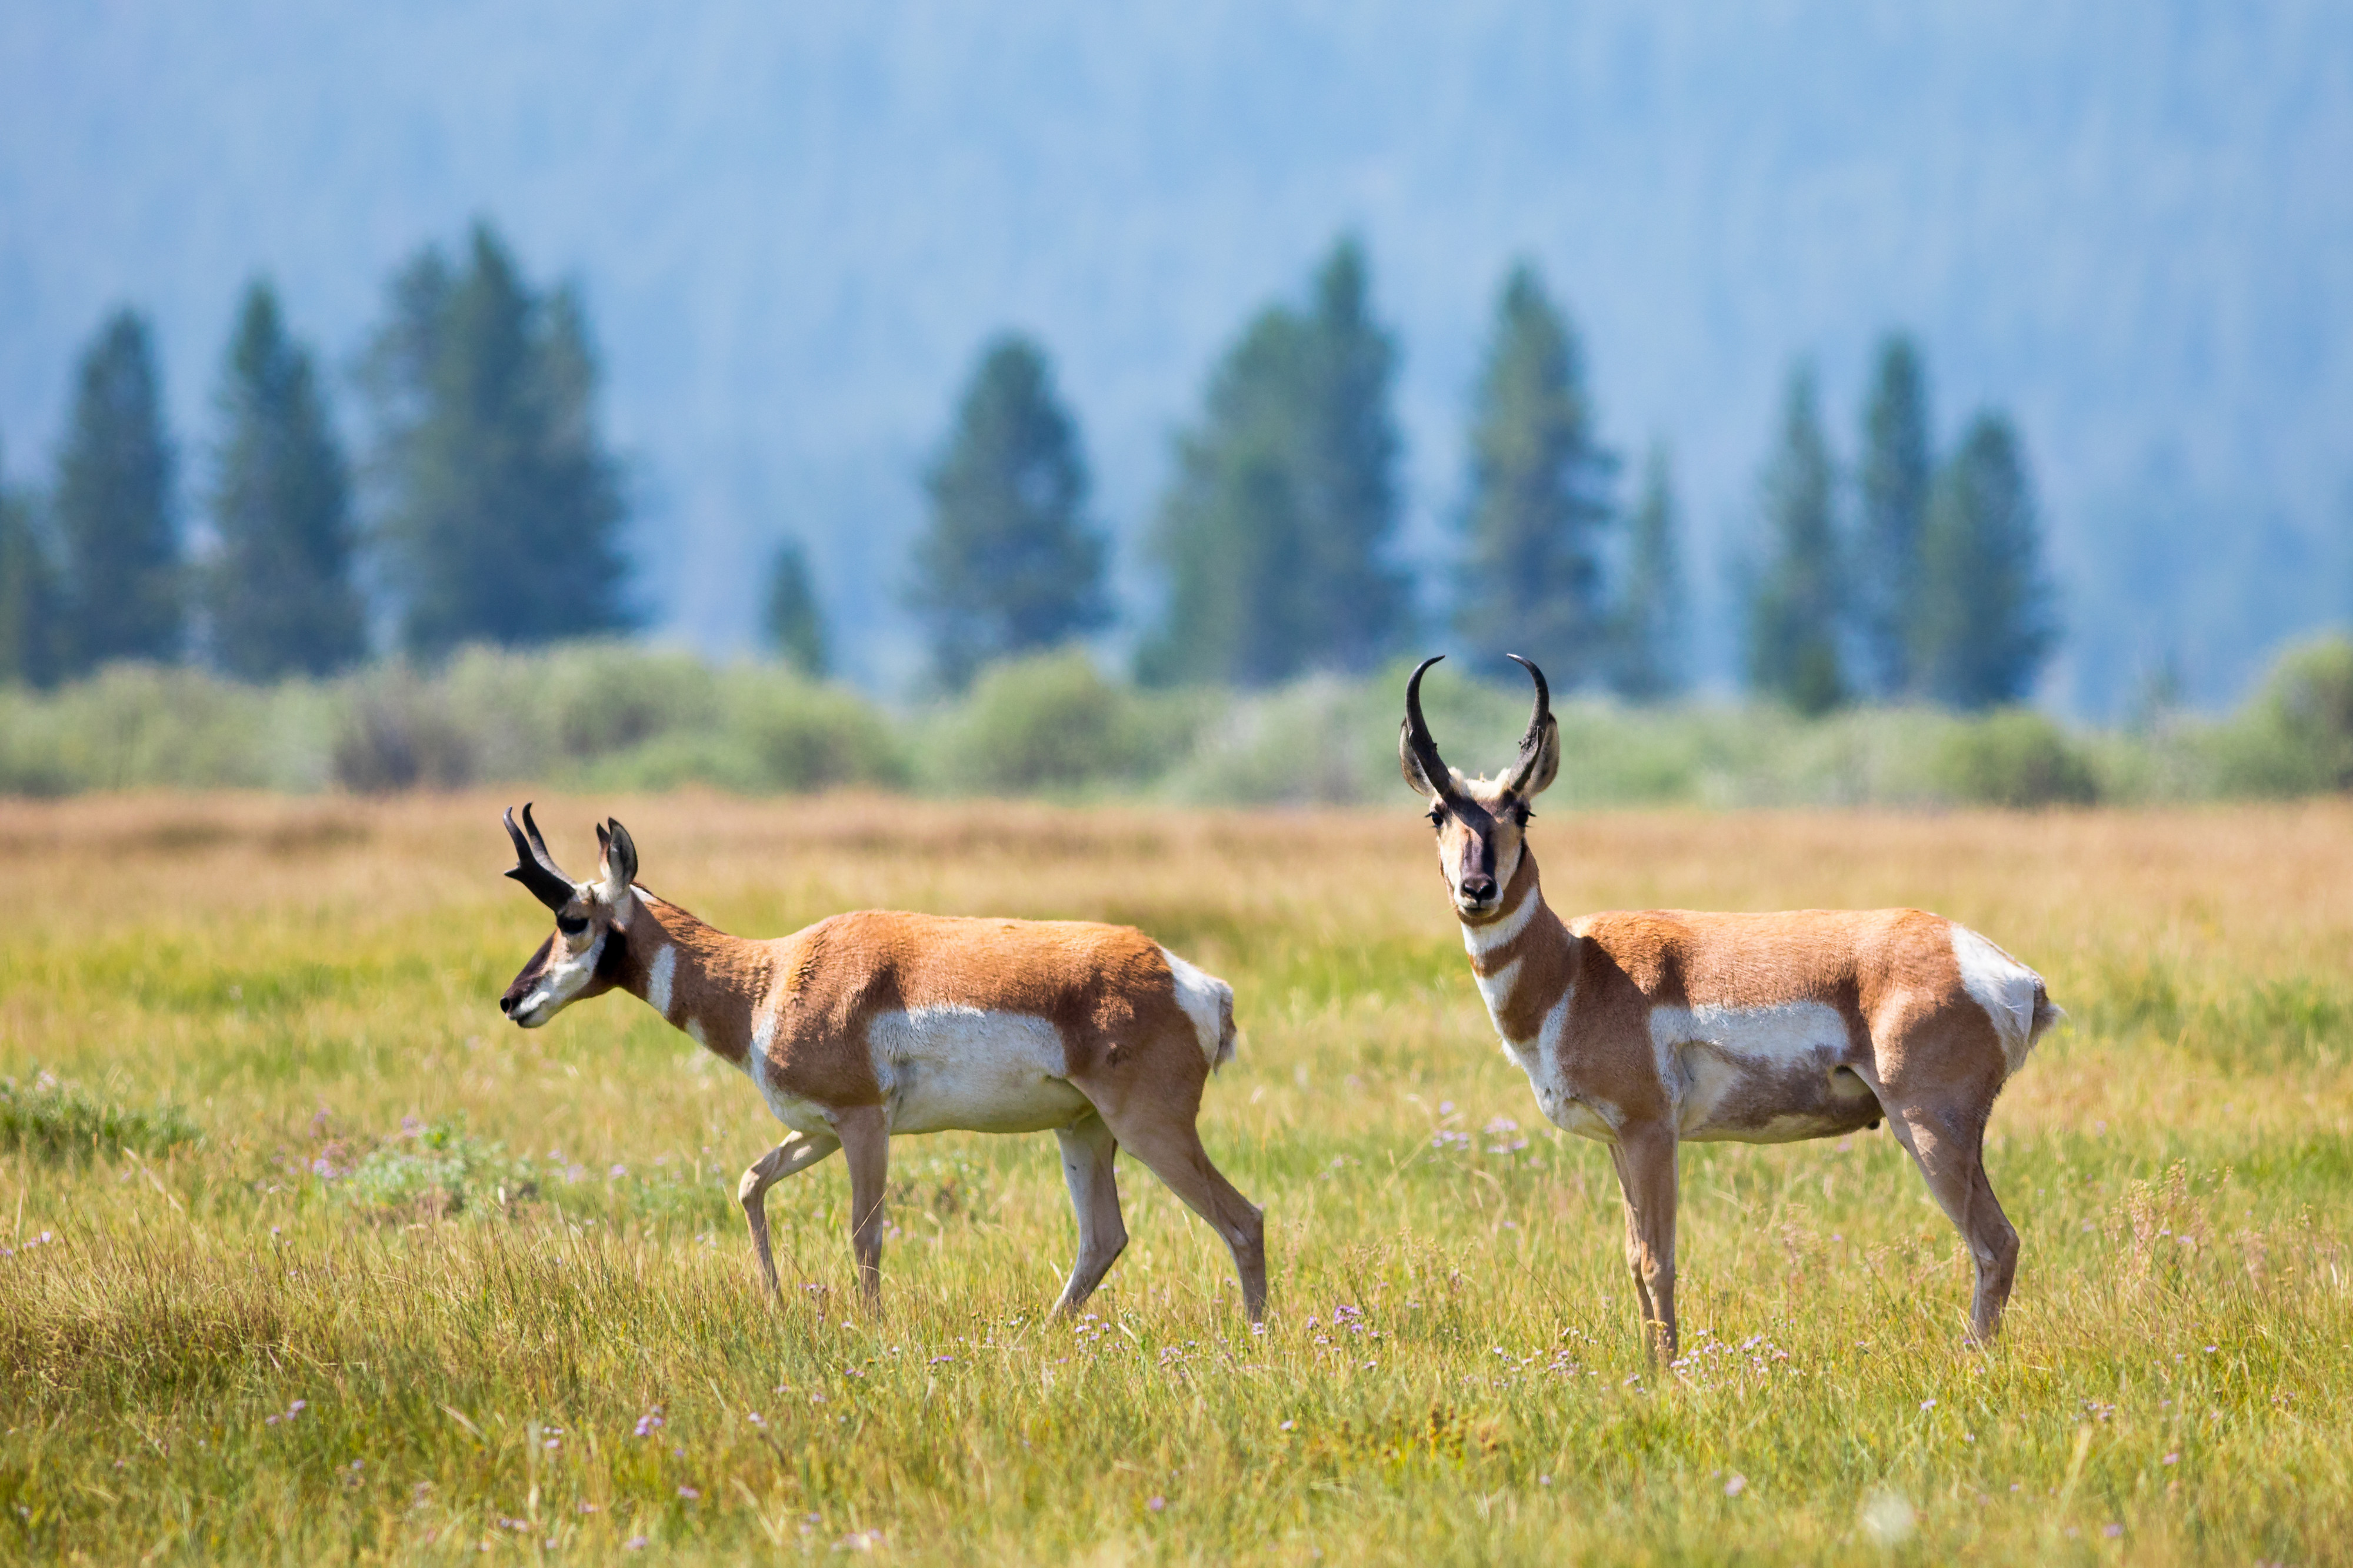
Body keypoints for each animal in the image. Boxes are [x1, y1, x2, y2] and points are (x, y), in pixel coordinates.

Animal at [499, 800, 1271, 1309]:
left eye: (572, 918)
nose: (512, 999)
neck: (772, 976)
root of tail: (1186, 976)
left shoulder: (864, 1123)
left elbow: (864, 1233)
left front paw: (869, 1330)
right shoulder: (817, 1129)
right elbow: (750, 1182)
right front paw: (776, 1301)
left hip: (1149, 1130)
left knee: (1243, 1220)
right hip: (1081, 1133)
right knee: (1103, 1238)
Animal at [1393, 654, 2061, 1346]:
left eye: (1522, 812)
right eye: (1437, 813)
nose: (1478, 888)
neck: (1578, 966)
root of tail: (2002, 970)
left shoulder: (1651, 1133)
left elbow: (1658, 1261)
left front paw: (1668, 1366)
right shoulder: (1615, 1141)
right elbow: (1632, 1261)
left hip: (1928, 1125)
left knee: (1996, 1243)